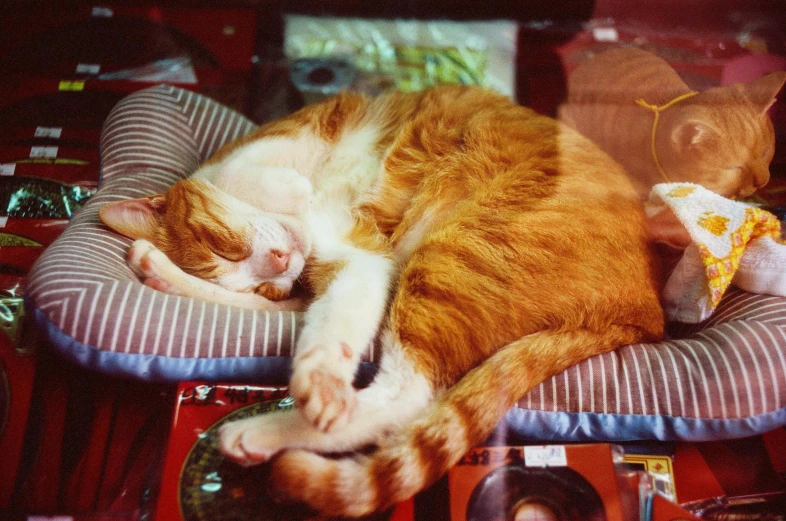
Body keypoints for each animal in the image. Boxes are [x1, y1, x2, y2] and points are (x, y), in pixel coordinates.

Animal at [96, 86, 660, 516]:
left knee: (408, 395)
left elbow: (244, 174)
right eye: (260, 283)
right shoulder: (357, 266)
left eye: (222, 241)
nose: (279, 263)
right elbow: (325, 322)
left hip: (456, 251)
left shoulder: (294, 143)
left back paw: (265, 430)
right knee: (402, 399)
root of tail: (644, 308)